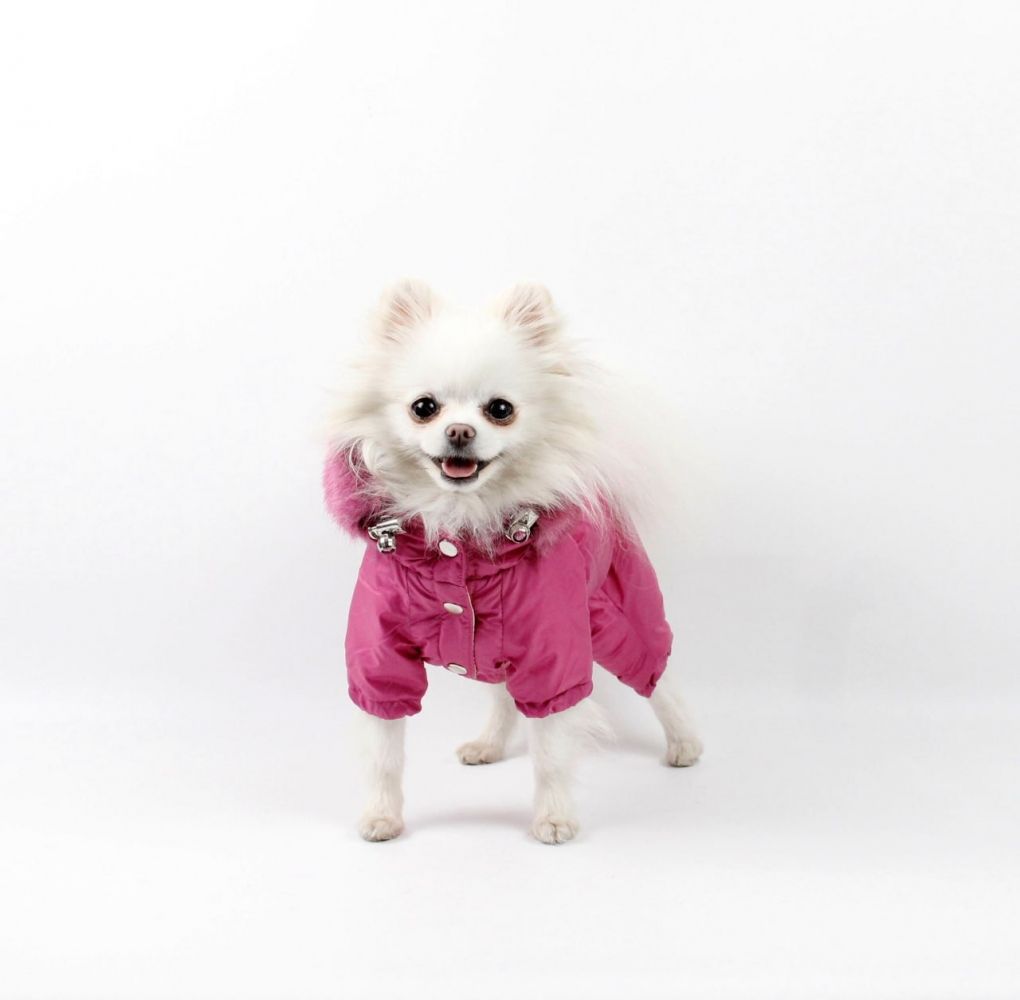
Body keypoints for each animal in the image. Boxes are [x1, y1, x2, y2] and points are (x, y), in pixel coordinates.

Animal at [324, 280, 702, 843]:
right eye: (423, 407)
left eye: (500, 409)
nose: (459, 432)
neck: (460, 527)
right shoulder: (378, 657)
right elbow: (384, 750)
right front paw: (382, 815)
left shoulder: (555, 653)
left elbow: (551, 751)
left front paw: (554, 817)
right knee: (502, 691)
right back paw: (490, 744)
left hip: (618, 610)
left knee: (657, 674)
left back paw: (684, 741)